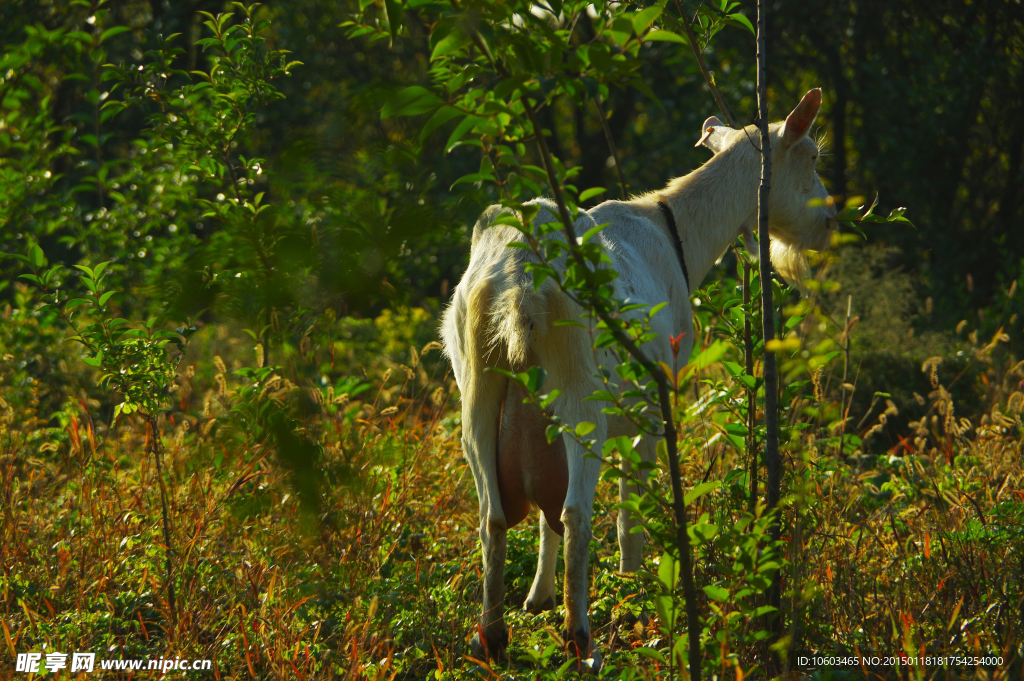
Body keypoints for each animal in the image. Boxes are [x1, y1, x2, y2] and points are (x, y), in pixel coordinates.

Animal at [438, 87, 831, 667]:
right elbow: (630, 515)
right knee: (577, 514)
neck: (675, 233)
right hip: (582, 398)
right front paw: (636, 586)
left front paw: (538, 597)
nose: (830, 223)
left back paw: (493, 637)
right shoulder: (653, 405)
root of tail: (520, 280)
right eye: (812, 156)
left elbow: (544, 512)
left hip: (479, 389)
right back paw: (581, 638)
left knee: (492, 516)